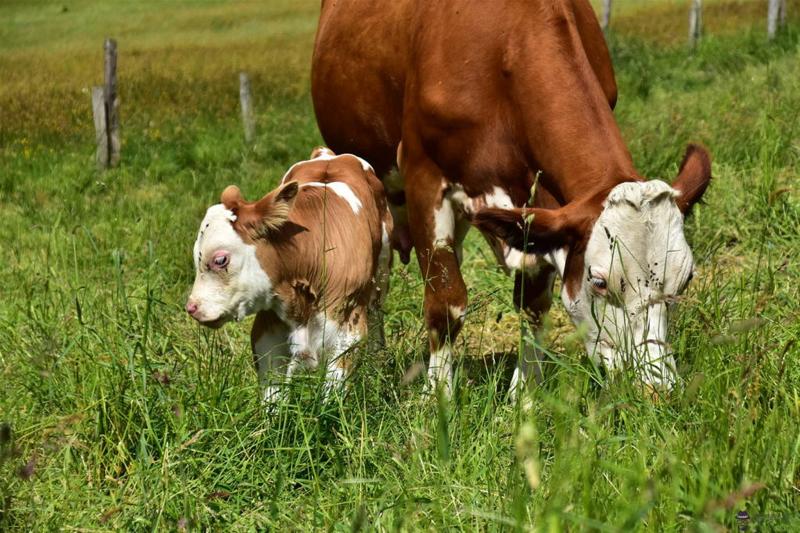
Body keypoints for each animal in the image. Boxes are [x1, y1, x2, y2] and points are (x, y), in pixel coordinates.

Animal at [184, 148, 390, 402]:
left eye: (220, 260)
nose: (191, 307)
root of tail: (329, 155)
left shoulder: (347, 329)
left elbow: (332, 393)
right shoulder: (267, 330)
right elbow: (272, 396)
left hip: (382, 273)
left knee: (377, 315)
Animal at [312, 0, 712, 394]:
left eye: (686, 280)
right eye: (599, 281)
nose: (655, 389)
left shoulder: (542, 208)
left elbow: (533, 303)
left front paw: (525, 395)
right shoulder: (424, 178)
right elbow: (444, 302)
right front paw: (438, 396)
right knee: (377, 283)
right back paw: (376, 358)